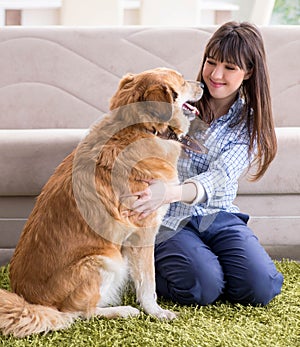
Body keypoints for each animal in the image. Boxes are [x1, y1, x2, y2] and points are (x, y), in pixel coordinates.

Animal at [0, 67, 204, 338]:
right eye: (181, 80)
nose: (203, 85)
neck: (142, 128)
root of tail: (31, 301)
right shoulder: (144, 231)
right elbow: (148, 283)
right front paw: (157, 312)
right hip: (104, 260)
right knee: (78, 313)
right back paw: (123, 310)